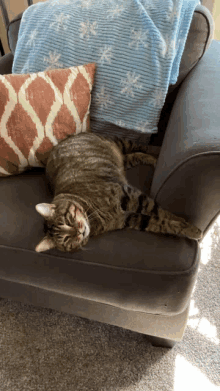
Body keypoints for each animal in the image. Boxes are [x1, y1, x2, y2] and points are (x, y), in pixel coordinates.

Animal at [34, 132, 203, 254]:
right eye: (66, 239)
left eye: (68, 220)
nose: (79, 232)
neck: (94, 215)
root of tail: (64, 140)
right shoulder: (127, 218)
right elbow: (158, 222)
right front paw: (186, 227)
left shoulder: (130, 195)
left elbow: (159, 211)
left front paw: (189, 226)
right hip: (123, 160)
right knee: (136, 155)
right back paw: (153, 159)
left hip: (120, 142)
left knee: (142, 146)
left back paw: (158, 152)